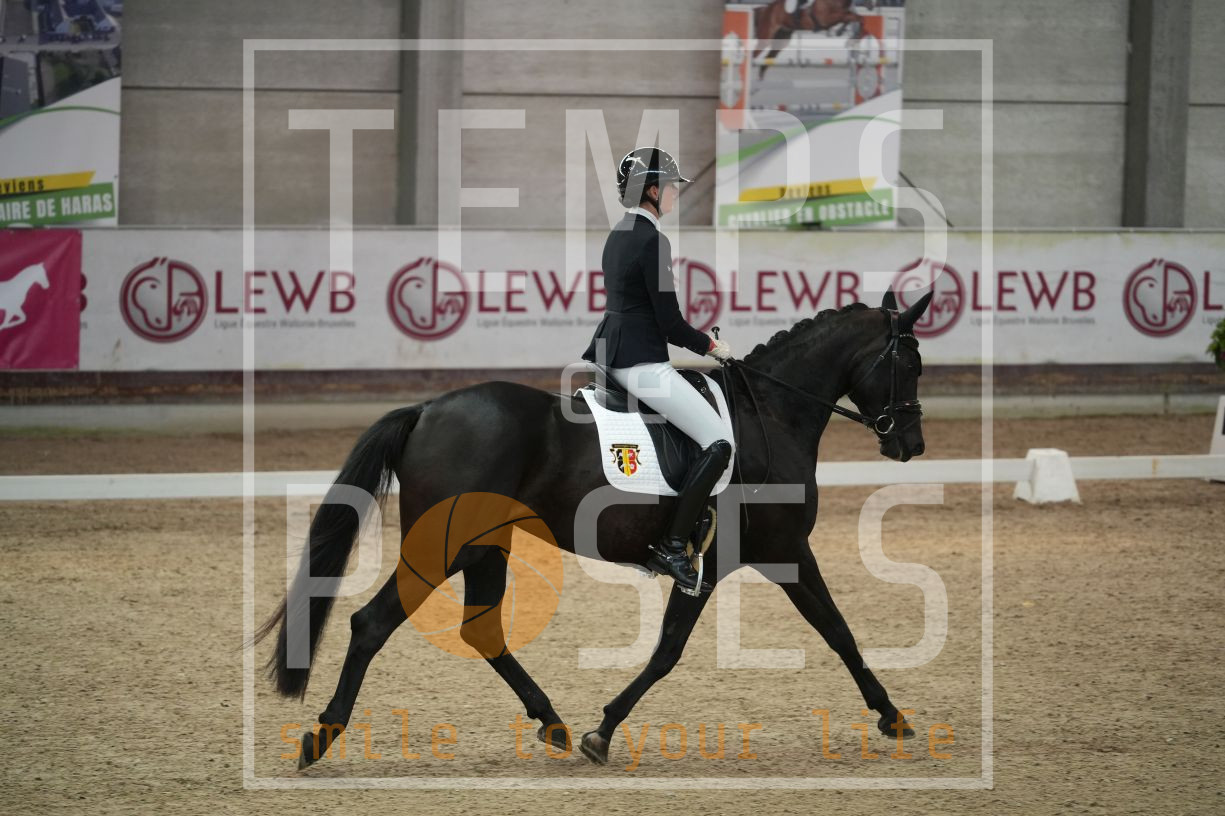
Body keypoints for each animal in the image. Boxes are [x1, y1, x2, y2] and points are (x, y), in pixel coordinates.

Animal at [255, 288, 933, 768]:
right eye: (910, 362)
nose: (912, 445)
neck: (771, 414)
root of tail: (426, 409)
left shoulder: (766, 555)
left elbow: (831, 633)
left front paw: (892, 716)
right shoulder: (756, 554)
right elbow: (683, 648)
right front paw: (602, 732)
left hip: (484, 545)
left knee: (481, 629)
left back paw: (550, 721)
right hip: (441, 546)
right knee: (372, 623)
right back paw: (322, 736)